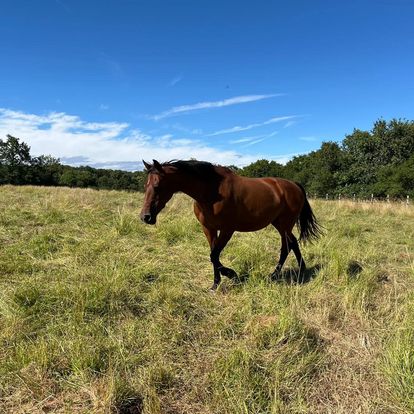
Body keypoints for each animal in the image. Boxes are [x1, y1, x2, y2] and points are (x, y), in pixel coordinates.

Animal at [141, 160, 322, 290]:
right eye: (145, 185)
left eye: (157, 186)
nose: (145, 217)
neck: (212, 191)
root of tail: (294, 185)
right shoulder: (209, 229)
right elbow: (213, 255)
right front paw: (215, 284)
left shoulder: (227, 230)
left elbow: (214, 255)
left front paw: (232, 274)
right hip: (279, 223)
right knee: (292, 244)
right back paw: (298, 271)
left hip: (285, 224)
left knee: (287, 246)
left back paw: (278, 275)